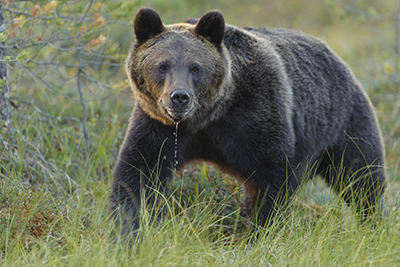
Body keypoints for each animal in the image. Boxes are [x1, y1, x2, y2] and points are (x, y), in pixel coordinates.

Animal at [111, 7, 386, 236]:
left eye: (195, 67)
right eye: (162, 66)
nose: (179, 96)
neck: (209, 116)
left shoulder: (257, 115)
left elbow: (271, 179)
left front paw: (260, 233)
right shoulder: (160, 126)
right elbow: (139, 172)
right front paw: (126, 231)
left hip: (343, 122)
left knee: (361, 177)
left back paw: (374, 226)